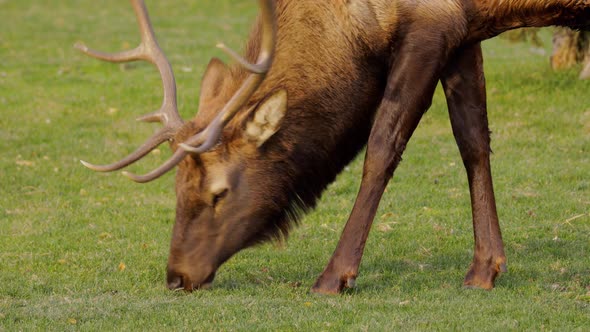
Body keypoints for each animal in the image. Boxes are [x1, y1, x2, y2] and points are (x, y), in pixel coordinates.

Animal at [77, 0, 590, 294]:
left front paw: (334, 276)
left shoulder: (431, 28)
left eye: (219, 192)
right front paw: (485, 269)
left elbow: (382, 146)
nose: (176, 276)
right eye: (177, 187)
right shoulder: (464, 32)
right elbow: (474, 141)